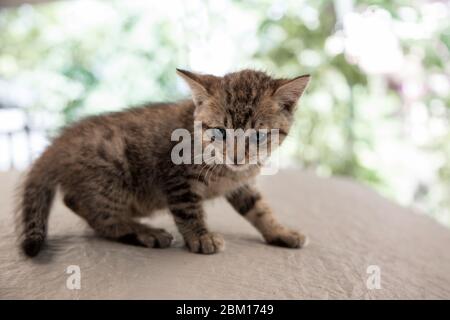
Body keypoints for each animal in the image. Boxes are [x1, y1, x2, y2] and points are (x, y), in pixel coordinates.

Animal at [14, 69, 310, 256]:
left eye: (258, 135)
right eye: (220, 132)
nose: (236, 156)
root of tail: (59, 143)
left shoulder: (241, 183)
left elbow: (258, 208)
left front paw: (280, 232)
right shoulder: (176, 177)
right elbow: (188, 210)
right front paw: (200, 237)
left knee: (75, 201)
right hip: (112, 174)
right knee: (98, 214)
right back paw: (143, 231)